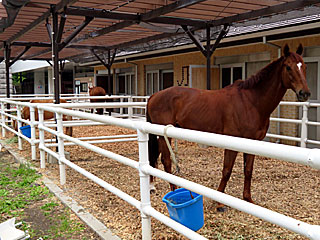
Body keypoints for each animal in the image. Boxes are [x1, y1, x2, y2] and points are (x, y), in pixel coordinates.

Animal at [147, 44, 310, 211]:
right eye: (288, 67)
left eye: (304, 66)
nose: (304, 93)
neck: (251, 102)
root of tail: (154, 96)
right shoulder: (232, 143)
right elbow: (227, 170)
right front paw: (219, 202)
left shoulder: (252, 143)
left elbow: (248, 170)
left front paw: (248, 199)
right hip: (163, 134)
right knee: (166, 161)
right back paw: (173, 192)